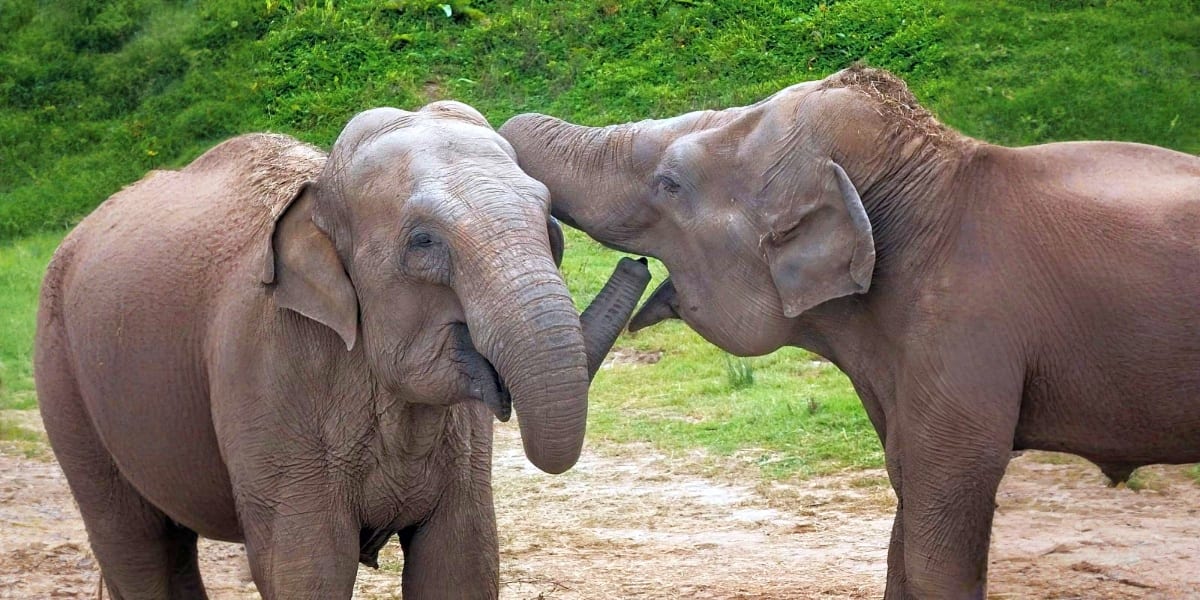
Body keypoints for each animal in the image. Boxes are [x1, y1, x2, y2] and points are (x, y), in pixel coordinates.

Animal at [33, 100, 650, 599]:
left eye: (550, 226)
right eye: (423, 242)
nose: (639, 263)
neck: (320, 186)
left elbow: (461, 565)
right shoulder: (269, 376)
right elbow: (309, 570)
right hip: (61, 373)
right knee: (132, 539)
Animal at [499, 66, 1200, 598]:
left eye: (670, 183)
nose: (633, 267)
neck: (936, 172)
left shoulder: (967, 332)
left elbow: (947, 501)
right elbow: (908, 499)